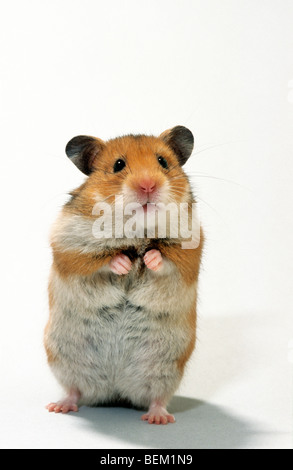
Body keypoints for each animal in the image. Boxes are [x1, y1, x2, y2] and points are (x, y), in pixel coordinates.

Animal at [44, 126, 203, 424]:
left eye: (163, 162)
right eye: (118, 165)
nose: (148, 186)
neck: (137, 231)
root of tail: (116, 390)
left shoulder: (190, 249)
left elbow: (165, 259)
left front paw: (148, 258)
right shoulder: (68, 246)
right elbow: (98, 259)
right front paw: (124, 264)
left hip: (167, 367)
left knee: (157, 397)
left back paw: (158, 418)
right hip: (62, 358)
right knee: (75, 390)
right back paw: (58, 407)